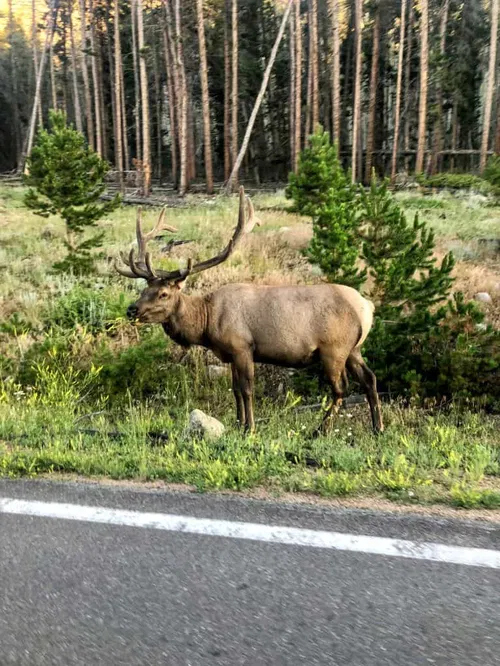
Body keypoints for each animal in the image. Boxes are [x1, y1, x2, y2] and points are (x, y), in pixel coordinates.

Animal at [115, 186, 384, 435]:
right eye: (144, 289)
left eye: (164, 293)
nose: (132, 310)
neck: (207, 322)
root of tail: (367, 307)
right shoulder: (230, 353)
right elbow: (235, 389)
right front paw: (237, 423)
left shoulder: (242, 346)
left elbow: (246, 389)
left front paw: (250, 427)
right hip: (354, 349)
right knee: (369, 378)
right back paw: (377, 427)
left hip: (334, 348)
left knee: (341, 388)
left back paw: (321, 429)